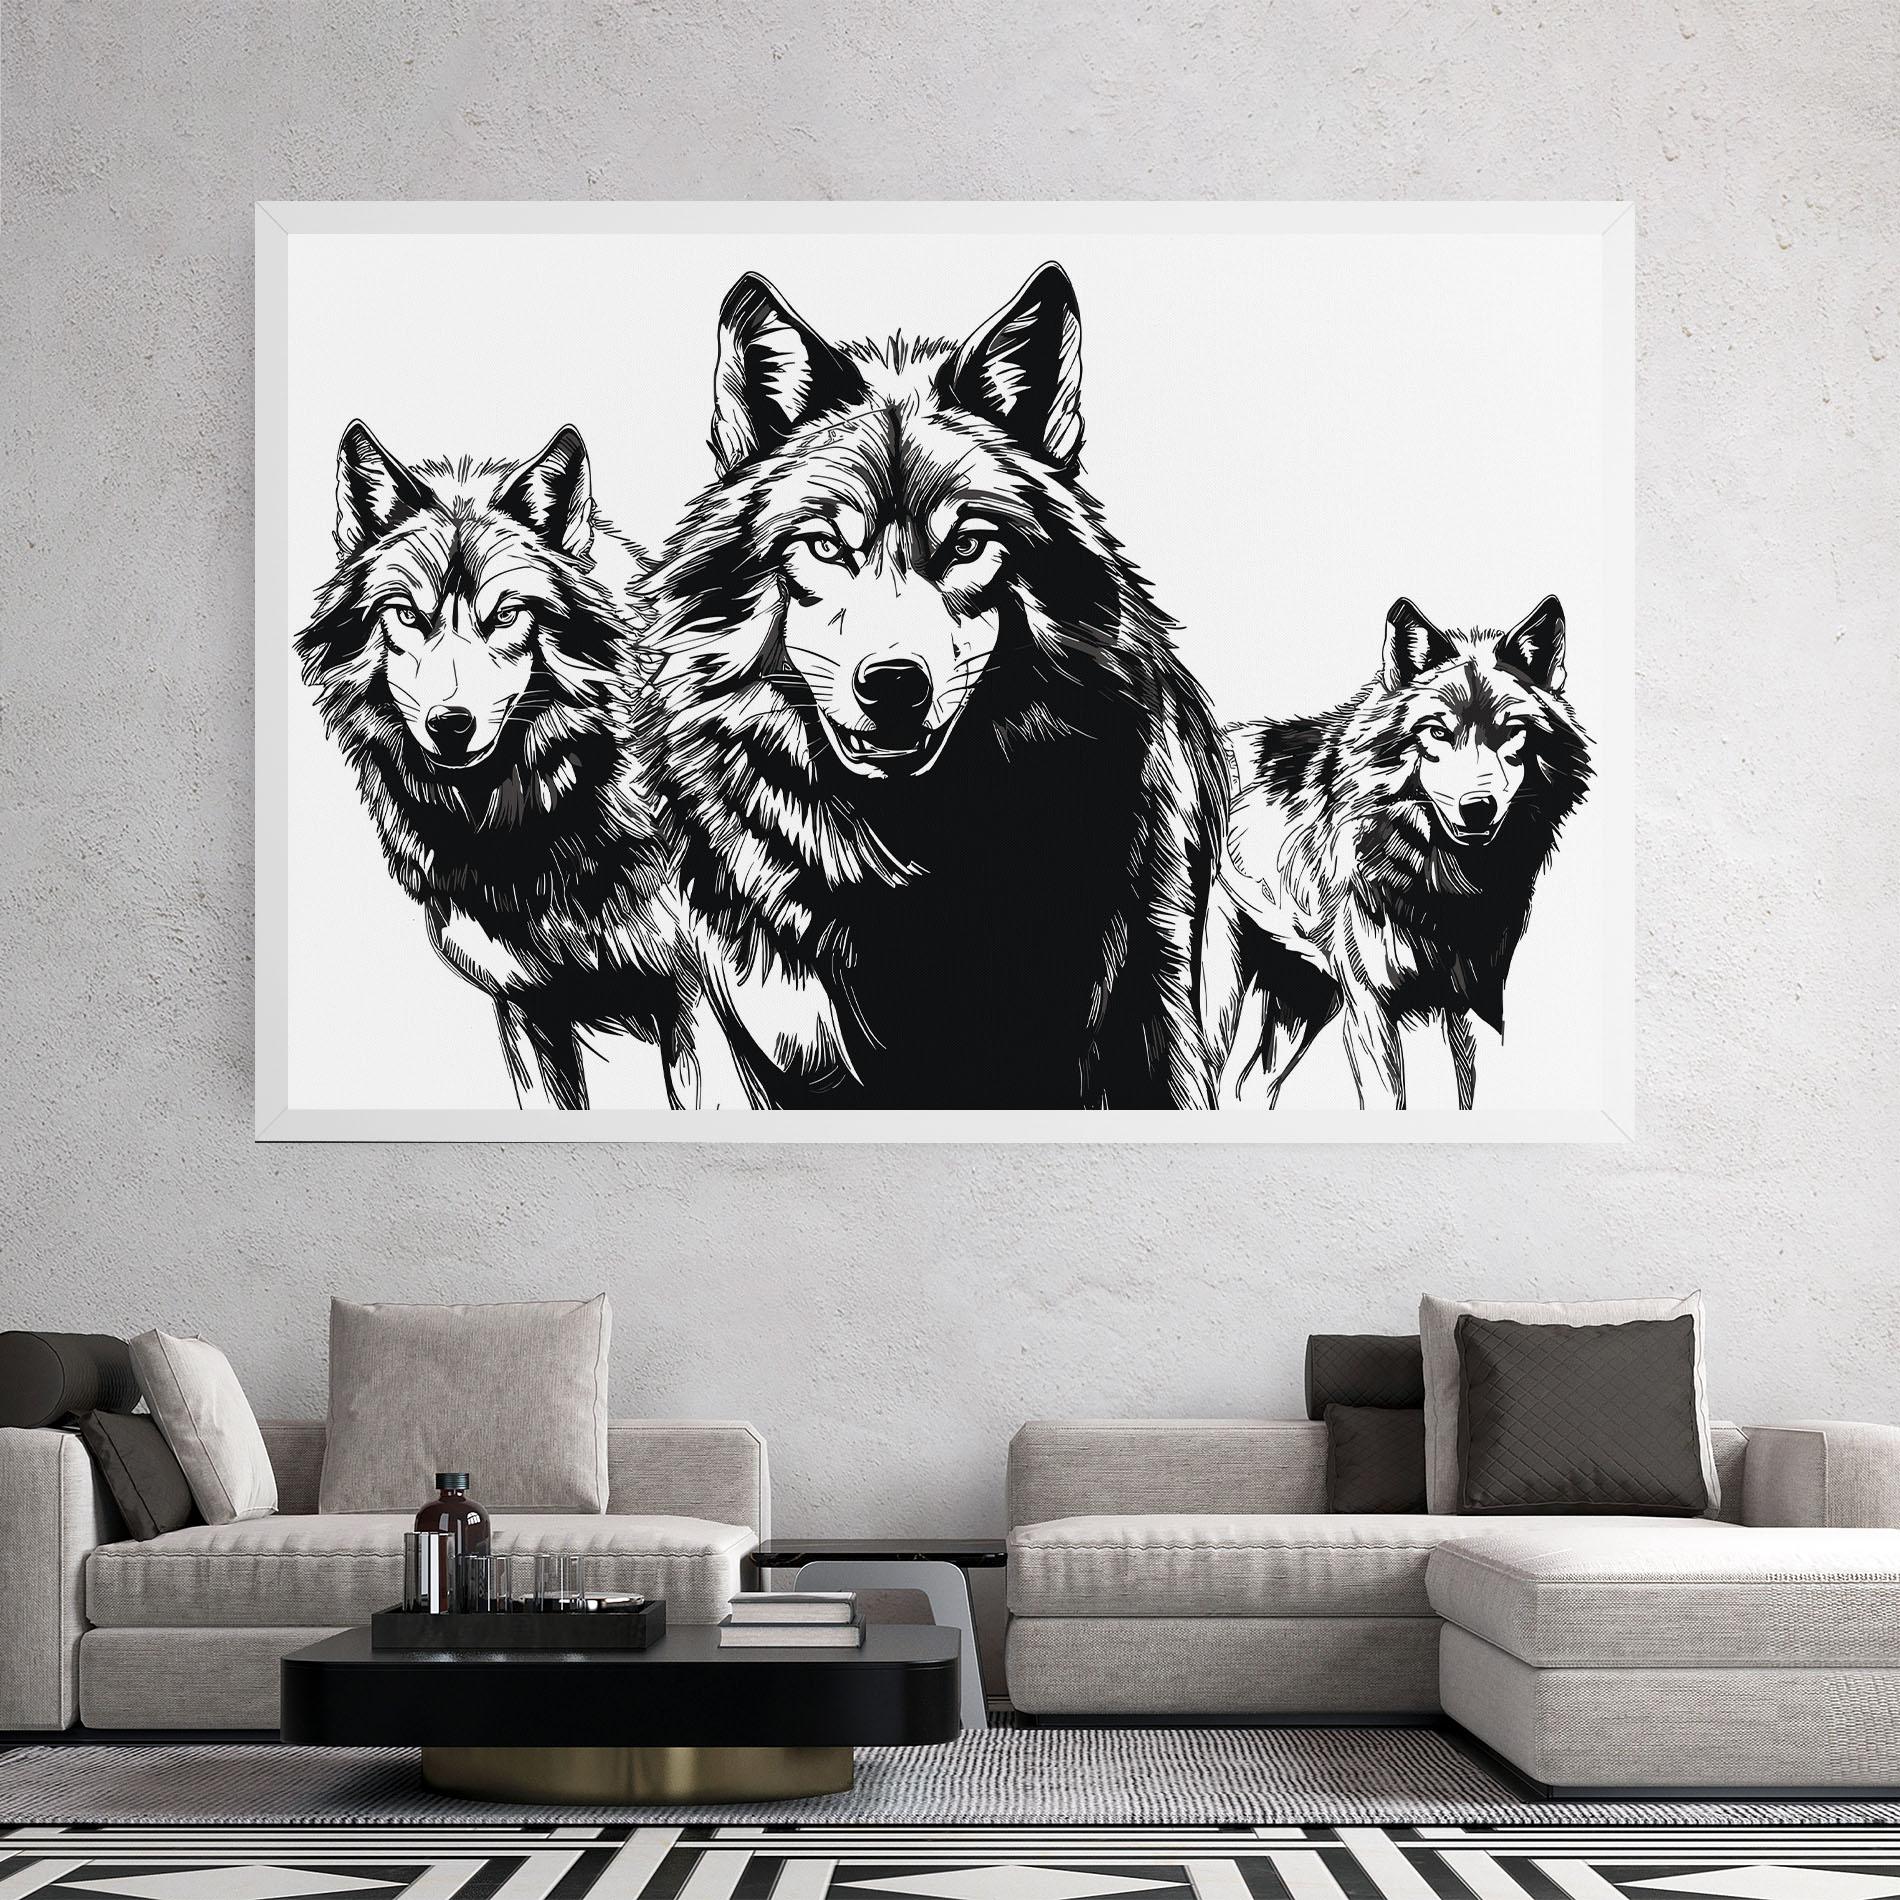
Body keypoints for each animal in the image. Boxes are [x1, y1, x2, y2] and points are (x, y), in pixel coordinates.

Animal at [1207, 596, 1591, 1110]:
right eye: (1436, 732)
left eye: (1510, 730)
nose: (1478, 808)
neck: (1446, 886)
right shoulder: (1371, 1009)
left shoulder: (1474, 1008)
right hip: (1220, 995)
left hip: (1305, 999)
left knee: (1249, 1084)